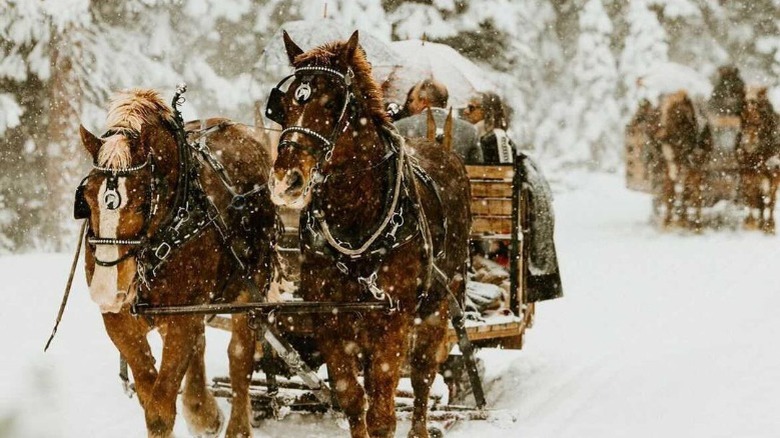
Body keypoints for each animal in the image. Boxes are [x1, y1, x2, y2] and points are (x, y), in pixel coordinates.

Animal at [76, 89, 278, 437]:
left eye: (141, 201)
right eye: (86, 200)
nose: (106, 291)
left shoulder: (184, 311)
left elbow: (160, 407)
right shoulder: (120, 318)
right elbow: (149, 391)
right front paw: (201, 412)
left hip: (250, 288)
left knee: (239, 357)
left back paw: (234, 423)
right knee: (200, 346)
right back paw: (203, 410)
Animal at [266, 31, 471, 438]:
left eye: (333, 102)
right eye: (285, 102)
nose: (286, 180)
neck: (355, 221)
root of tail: (440, 146)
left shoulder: (393, 319)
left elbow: (382, 411)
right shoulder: (331, 320)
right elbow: (351, 397)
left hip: (440, 300)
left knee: (423, 373)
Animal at [656, 90, 712, 230]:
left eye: (679, 116)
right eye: (664, 115)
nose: (661, 138)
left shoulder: (693, 170)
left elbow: (688, 195)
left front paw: (683, 221)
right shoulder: (670, 170)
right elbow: (670, 194)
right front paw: (668, 222)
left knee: (695, 196)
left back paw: (695, 223)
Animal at [736, 87, 780, 233]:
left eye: (761, 112)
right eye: (741, 112)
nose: (747, 143)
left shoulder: (774, 176)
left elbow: (771, 201)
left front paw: (769, 225)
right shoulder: (749, 175)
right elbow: (754, 199)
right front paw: (753, 222)